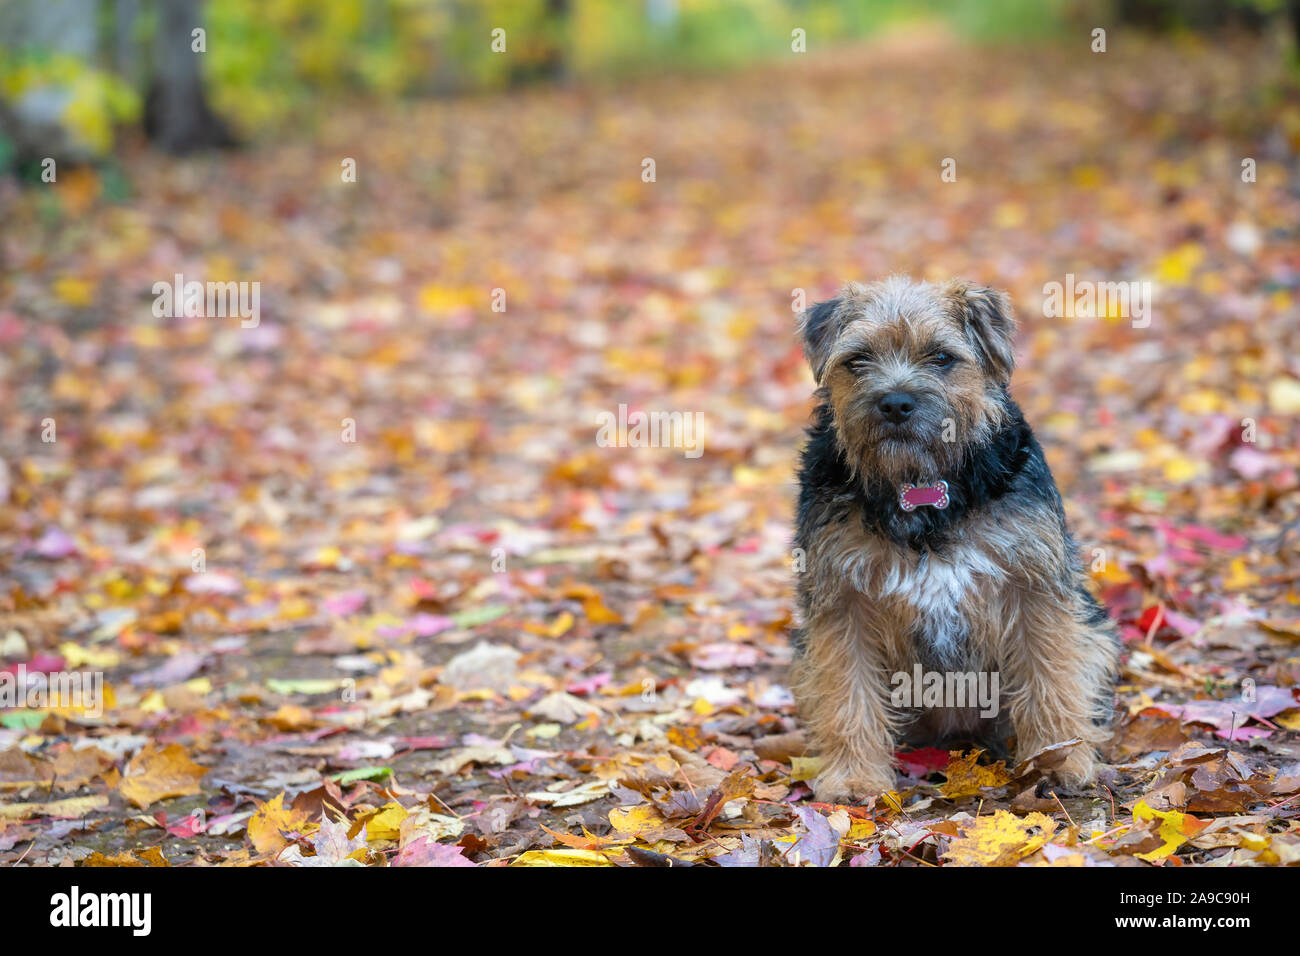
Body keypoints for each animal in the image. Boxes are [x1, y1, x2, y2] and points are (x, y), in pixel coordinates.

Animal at [790, 278, 1118, 806]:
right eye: (857, 360)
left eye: (942, 357)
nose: (895, 403)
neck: (921, 487)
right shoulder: (843, 600)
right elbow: (848, 694)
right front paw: (855, 778)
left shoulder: (1034, 588)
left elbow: (1050, 676)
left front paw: (1058, 760)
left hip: (1097, 634)